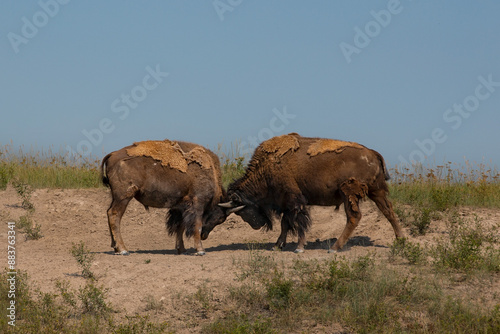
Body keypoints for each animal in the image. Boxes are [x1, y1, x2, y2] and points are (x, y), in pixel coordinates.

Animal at [102, 139, 230, 256]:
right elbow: (196, 226)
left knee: (109, 212)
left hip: (116, 197)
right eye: (220, 218)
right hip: (124, 197)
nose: (204, 236)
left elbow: (180, 227)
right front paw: (200, 251)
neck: (211, 172)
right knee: (114, 215)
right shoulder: (198, 203)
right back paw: (123, 250)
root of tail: (112, 154)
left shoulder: (181, 207)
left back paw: (116, 248)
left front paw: (182, 250)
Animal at [201, 133, 404, 253]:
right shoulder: (286, 204)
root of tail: (373, 153)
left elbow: (299, 224)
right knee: (388, 211)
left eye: (241, 211)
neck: (267, 168)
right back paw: (400, 239)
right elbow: (285, 225)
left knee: (354, 217)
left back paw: (334, 248)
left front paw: (299, 248)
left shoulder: (295, 202)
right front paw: (277, 246)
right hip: (376, 191)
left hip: (349, 194)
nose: (257, 225)